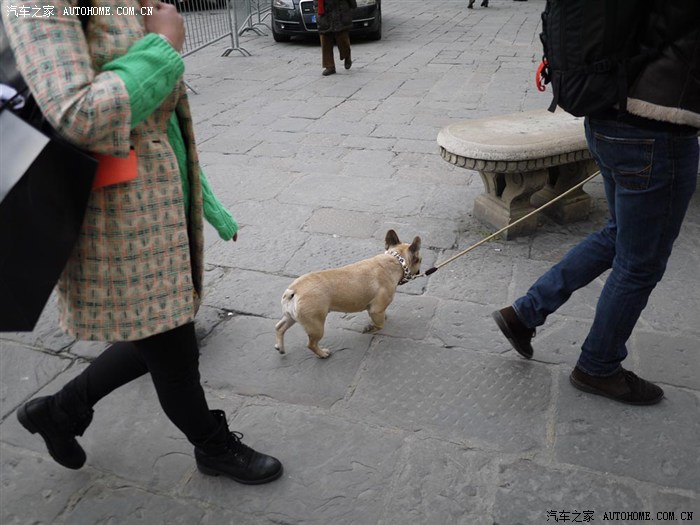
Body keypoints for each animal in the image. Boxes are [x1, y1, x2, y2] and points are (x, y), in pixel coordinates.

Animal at [275, 230, 422, 358]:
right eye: (420, 259)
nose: (420, 270)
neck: (396, 260)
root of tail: (293, 290)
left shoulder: (377, 310)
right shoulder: (376, 310)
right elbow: (380, 325)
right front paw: (370, 328)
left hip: (291, 317)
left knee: (279, 327)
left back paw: (280, 347)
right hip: (316, 325)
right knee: (311, 344)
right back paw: (323, 354)